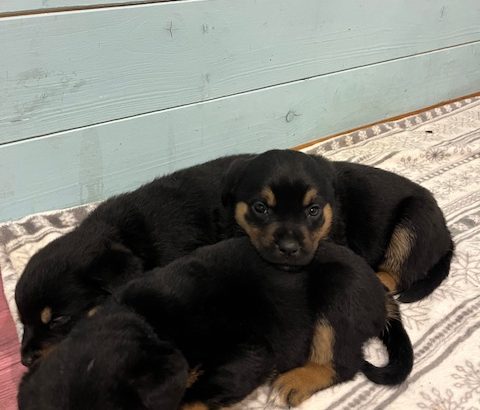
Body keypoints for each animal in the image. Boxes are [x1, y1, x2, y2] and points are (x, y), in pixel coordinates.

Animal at [221, 148, 454, 302]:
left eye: (313, 210)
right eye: (260, 208)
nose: (288, 248)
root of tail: (447, 235)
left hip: (413, 224)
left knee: (396, 275)